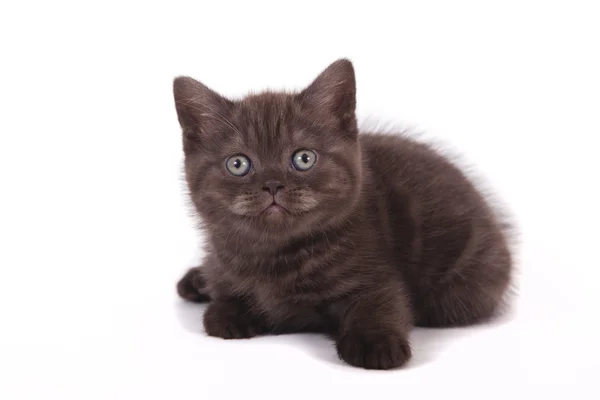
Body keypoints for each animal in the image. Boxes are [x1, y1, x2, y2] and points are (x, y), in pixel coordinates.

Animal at [171, 60, 512, 372]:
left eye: (303, 158)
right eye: (238, 164)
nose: (272, 184)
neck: (275, 255)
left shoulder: (375, 273)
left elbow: (380, 303)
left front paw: (377, 343)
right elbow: (221, 306)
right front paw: (230, 309)